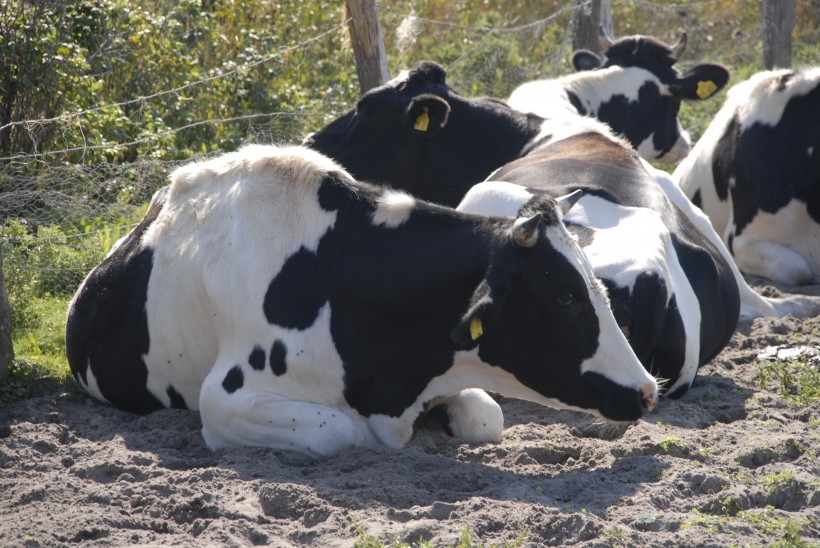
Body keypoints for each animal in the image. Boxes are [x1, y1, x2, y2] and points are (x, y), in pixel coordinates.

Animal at [62, 143, 660, 456]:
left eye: (597, 288)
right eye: (564, 298)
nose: (648, 390)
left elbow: (486, 416)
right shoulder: (224, 398)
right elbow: (342, 431)